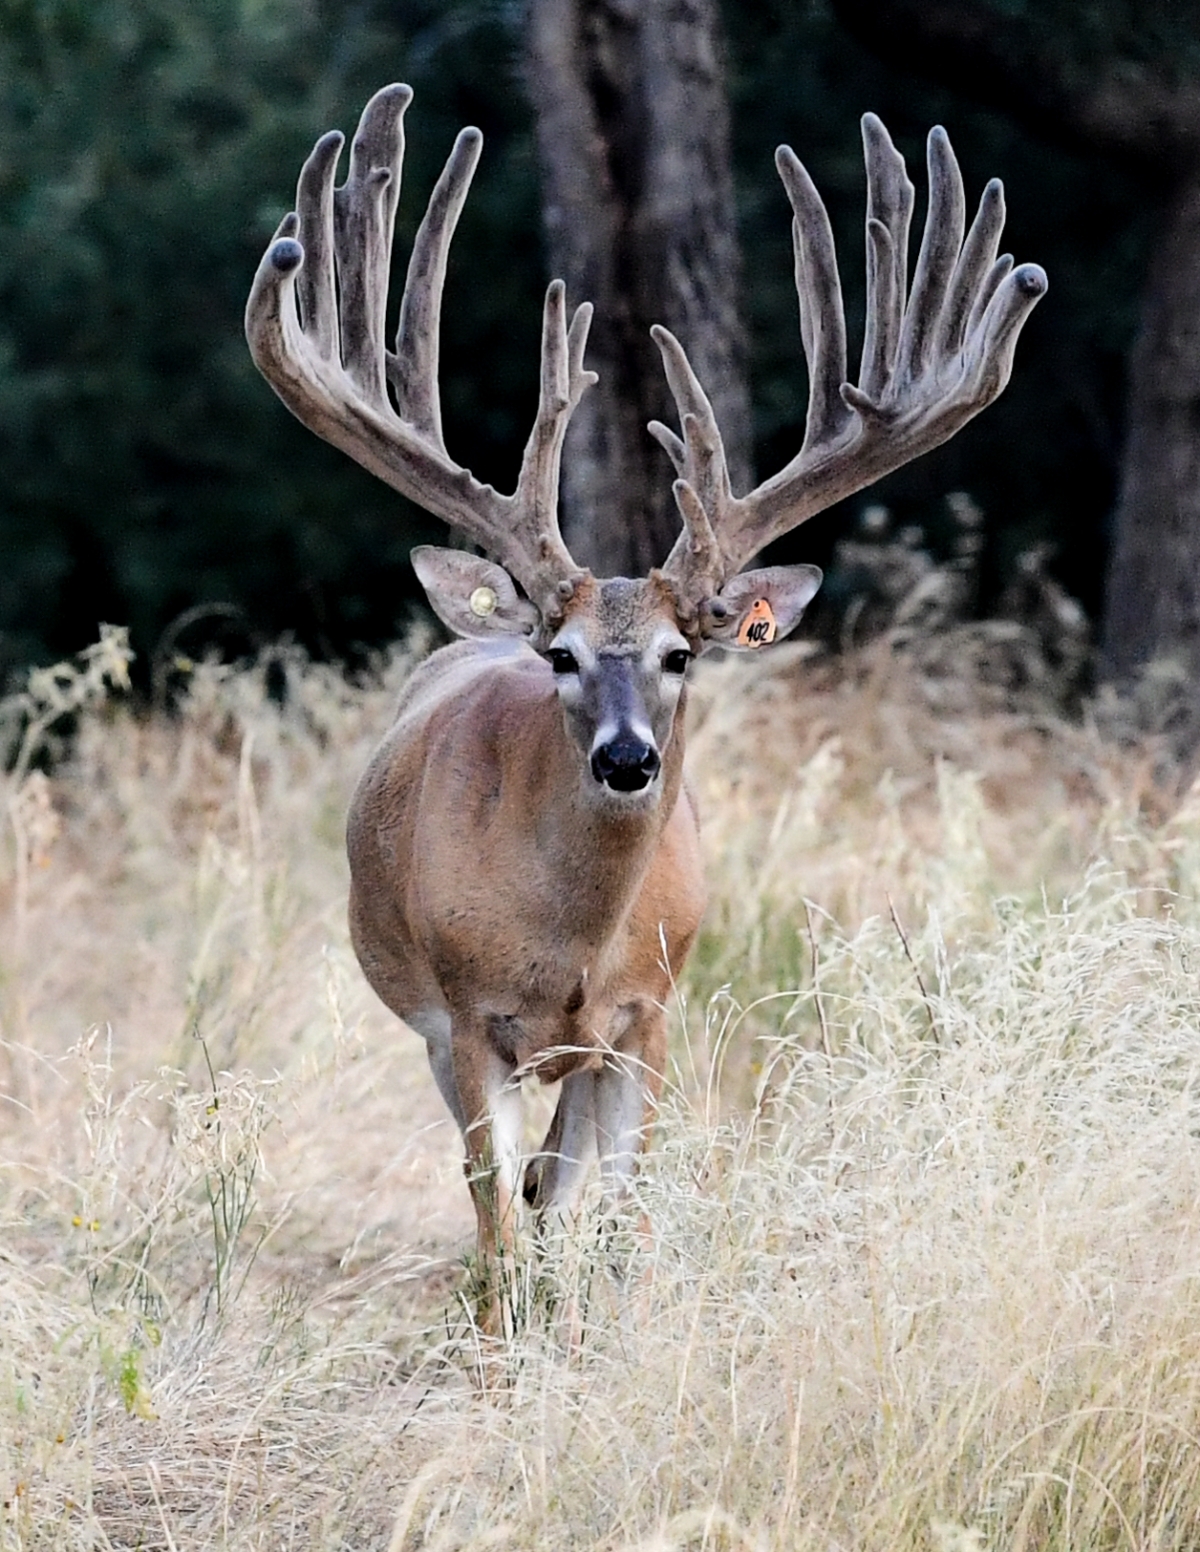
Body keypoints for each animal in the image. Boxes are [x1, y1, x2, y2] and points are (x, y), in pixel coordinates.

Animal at [245, 84, 1049, 1322]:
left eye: (683, 653)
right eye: (561, 656)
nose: (628, 760)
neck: (568, 943)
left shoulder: (648, 1015)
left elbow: (612, 1216)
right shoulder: (466, 1020)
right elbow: (499, 1230)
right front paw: (508, 1334)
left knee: (557, 1184)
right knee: (509, 1195)